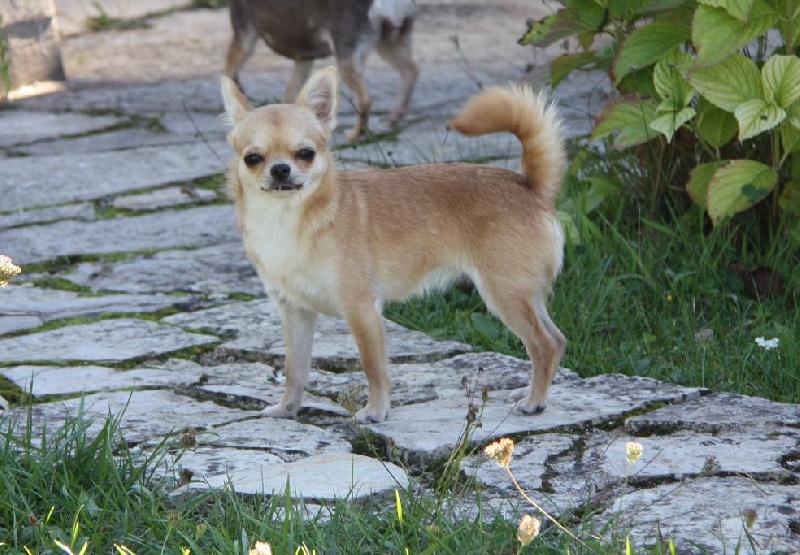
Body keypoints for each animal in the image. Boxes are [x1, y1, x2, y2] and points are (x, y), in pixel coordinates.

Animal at [221, 66, 567, 423]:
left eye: (306, 154)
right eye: (252, 158)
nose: (280, 169)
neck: (286, 219)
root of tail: (529, 186)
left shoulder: (361, 310)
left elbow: (373, 366)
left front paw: (375, 411)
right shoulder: (295, 312)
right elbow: (295, 368)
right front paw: (288, 407)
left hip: (505, 295)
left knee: (543, 345)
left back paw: (535, 401)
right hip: (525, 296)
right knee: (557, 339)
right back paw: (531, 391)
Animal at [224, 0, 419, 141]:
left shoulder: (243, 36)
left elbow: (229, 71)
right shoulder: (303, 59)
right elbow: (291, 95)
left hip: (347, 53)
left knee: (365, 99)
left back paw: (356, 134)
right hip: (391, 42)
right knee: (411, 70)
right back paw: (394, 117)